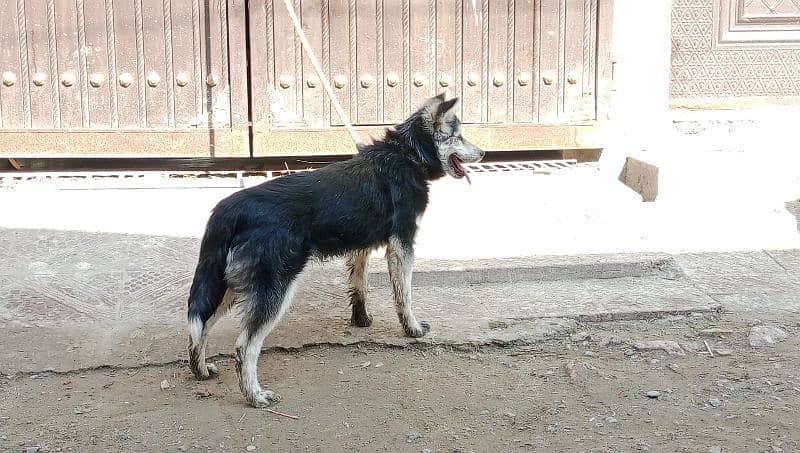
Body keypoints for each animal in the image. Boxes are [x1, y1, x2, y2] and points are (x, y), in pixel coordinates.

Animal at [188, 92, 484, 406]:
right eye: (458, 136)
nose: (482, 154)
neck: (407, 154)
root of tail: (228, 209)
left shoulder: (360, 247)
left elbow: (359, 287)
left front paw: (361, 320)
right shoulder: (402, 244)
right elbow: (404, 296)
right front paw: (412, 329)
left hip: (227, 286)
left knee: (200, 325)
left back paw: (201, 370)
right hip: (272, 289)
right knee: (245, 346)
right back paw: (255, 395)